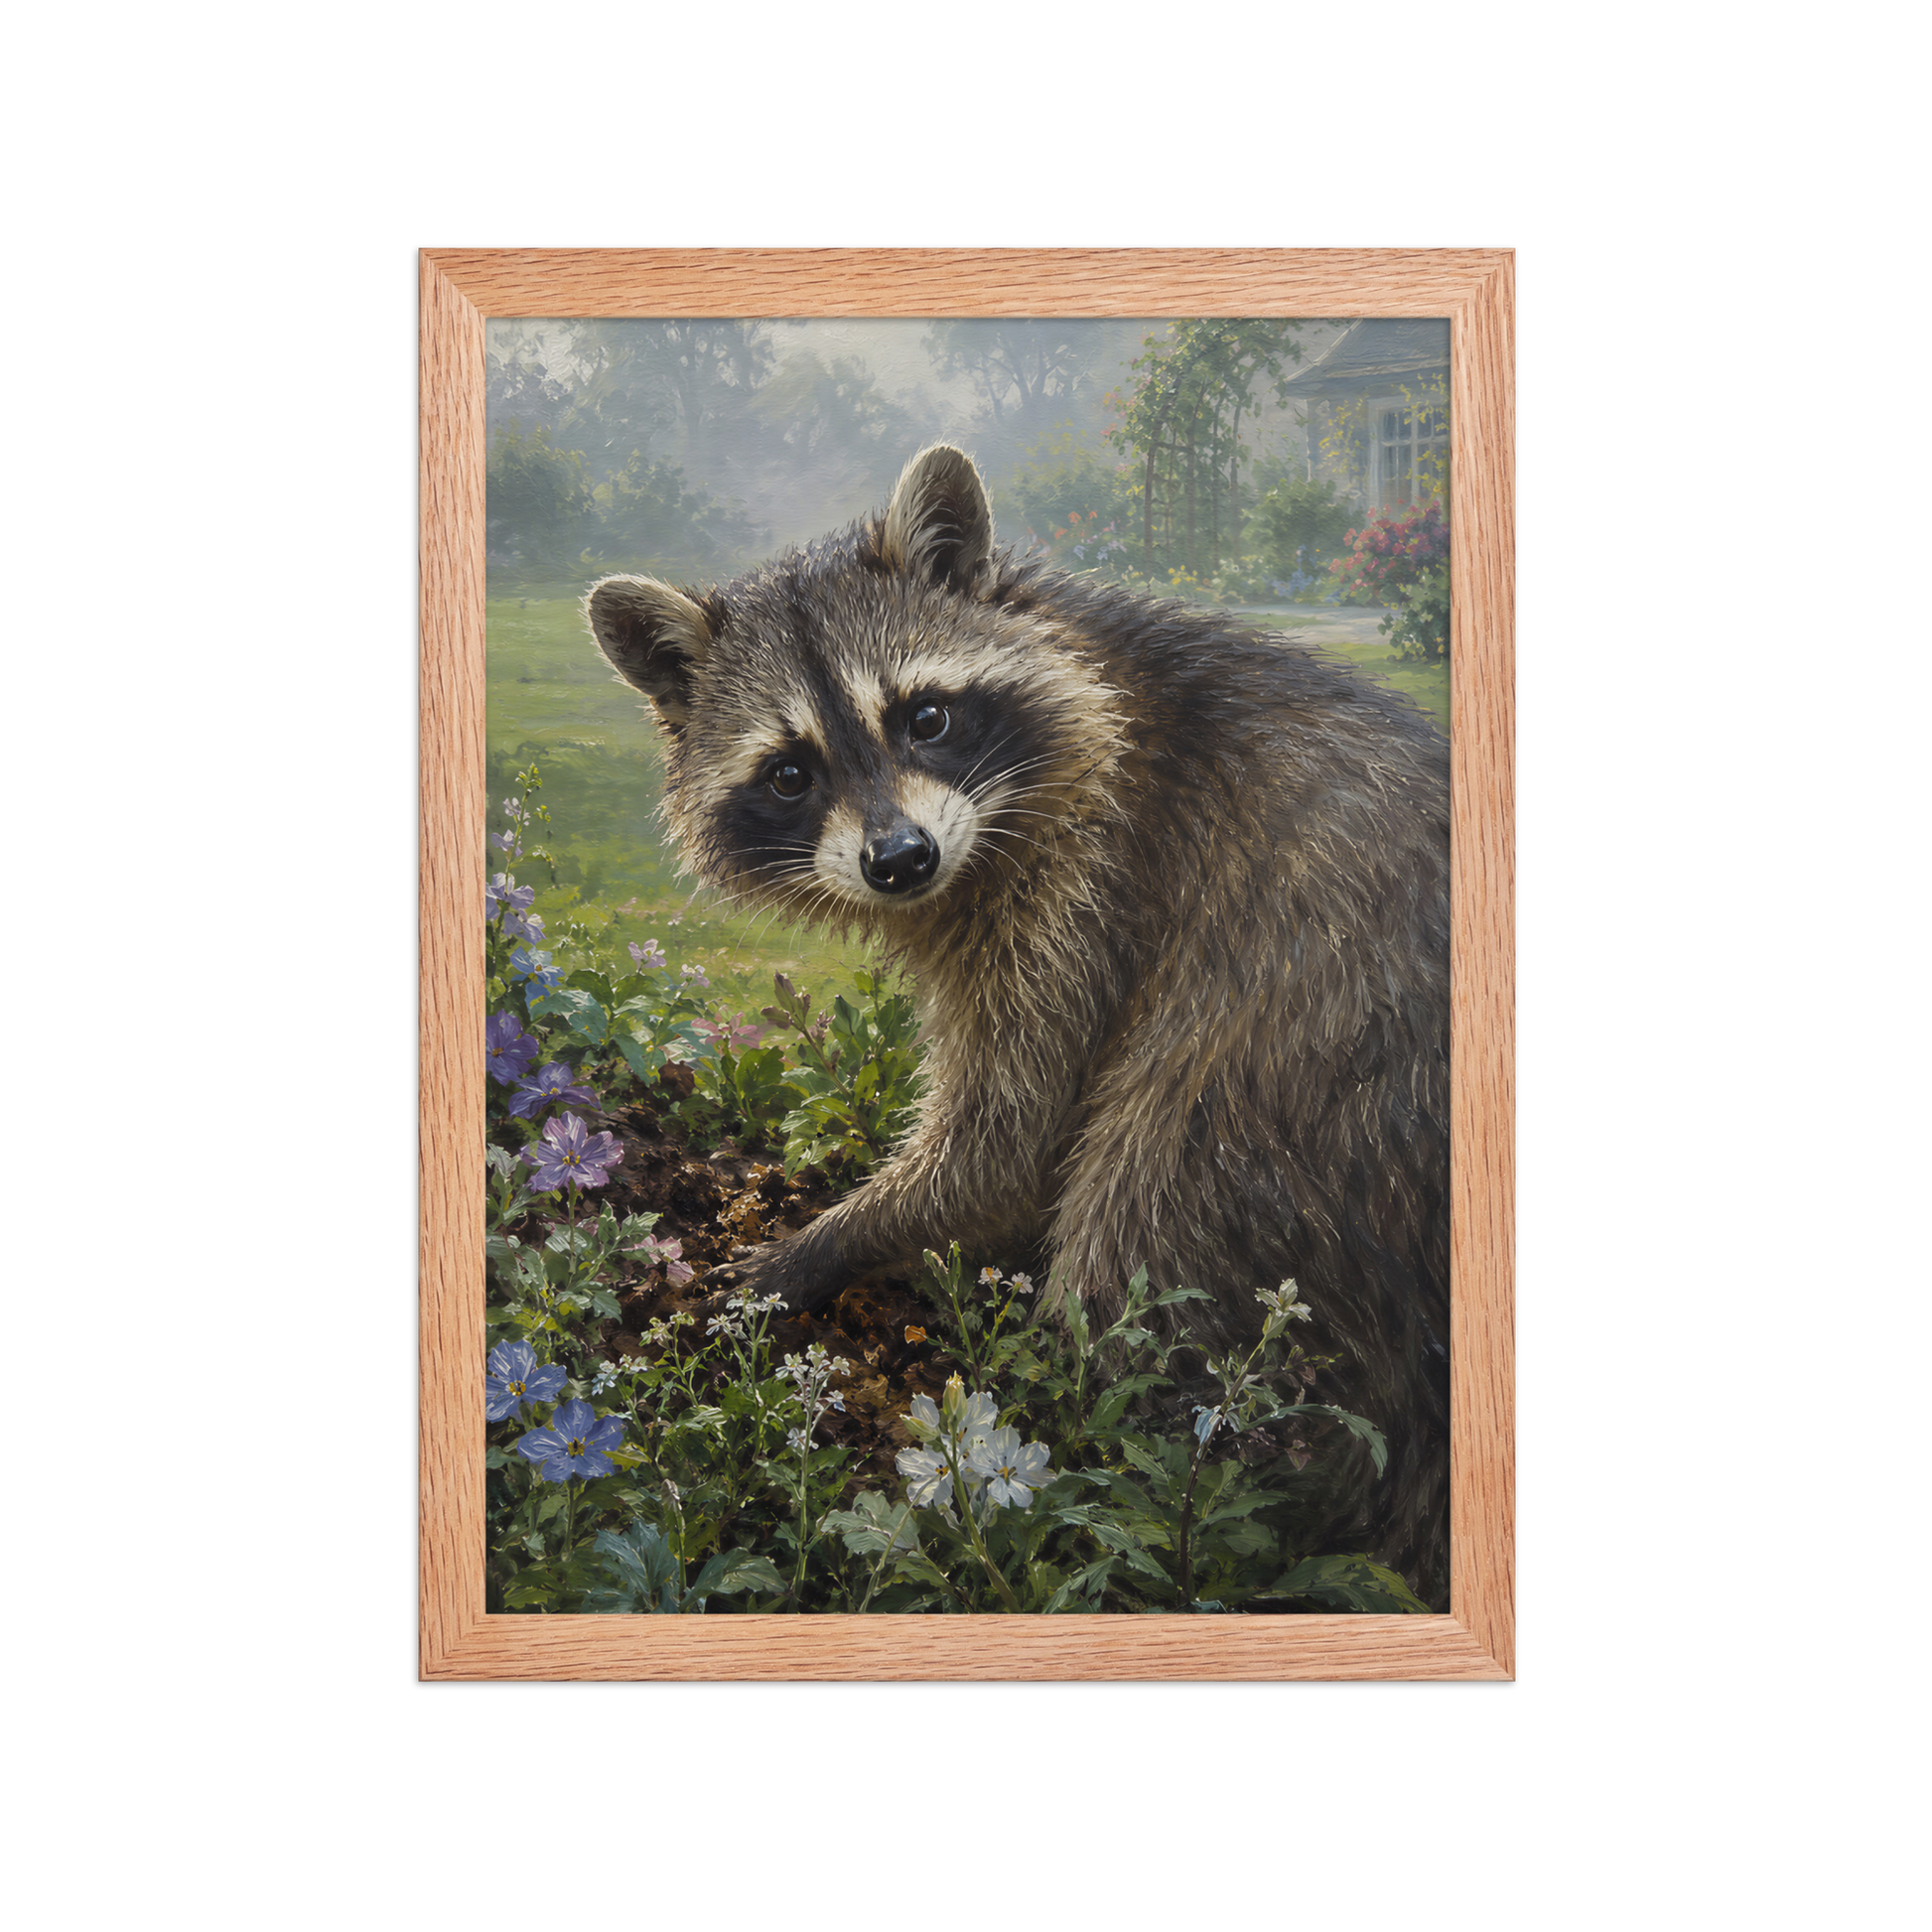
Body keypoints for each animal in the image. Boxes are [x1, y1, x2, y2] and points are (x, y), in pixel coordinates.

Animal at [585, 445, 1451, 1606]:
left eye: (925, 717)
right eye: (789, 771)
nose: (900, 859)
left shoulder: (1095, 883)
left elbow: (1006, 1144)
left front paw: (825, 1242)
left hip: (1292, 1099)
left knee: (1144, 1220)